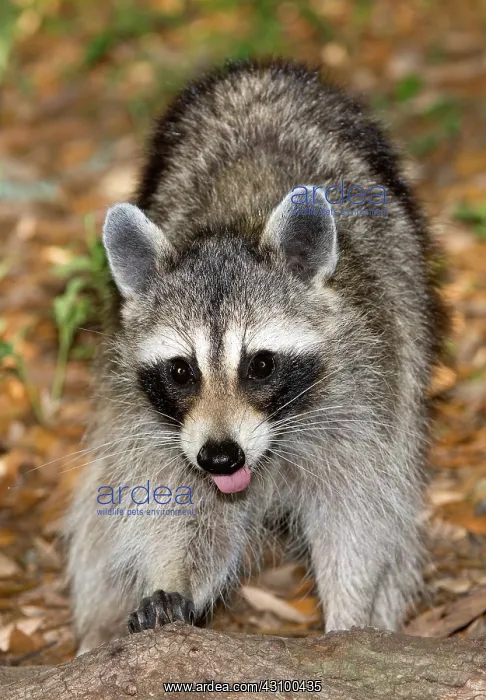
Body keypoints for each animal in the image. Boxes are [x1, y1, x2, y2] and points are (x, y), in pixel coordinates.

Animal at [65, 59, 446, 653]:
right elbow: (174, 506)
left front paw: (353, 608)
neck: (233, 224)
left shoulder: (366, 385)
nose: (221, 458)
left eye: (260, 365)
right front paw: (174, 579)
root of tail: (257, 70)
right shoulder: (150, 421)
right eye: (181, 370)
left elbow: (359, 514)